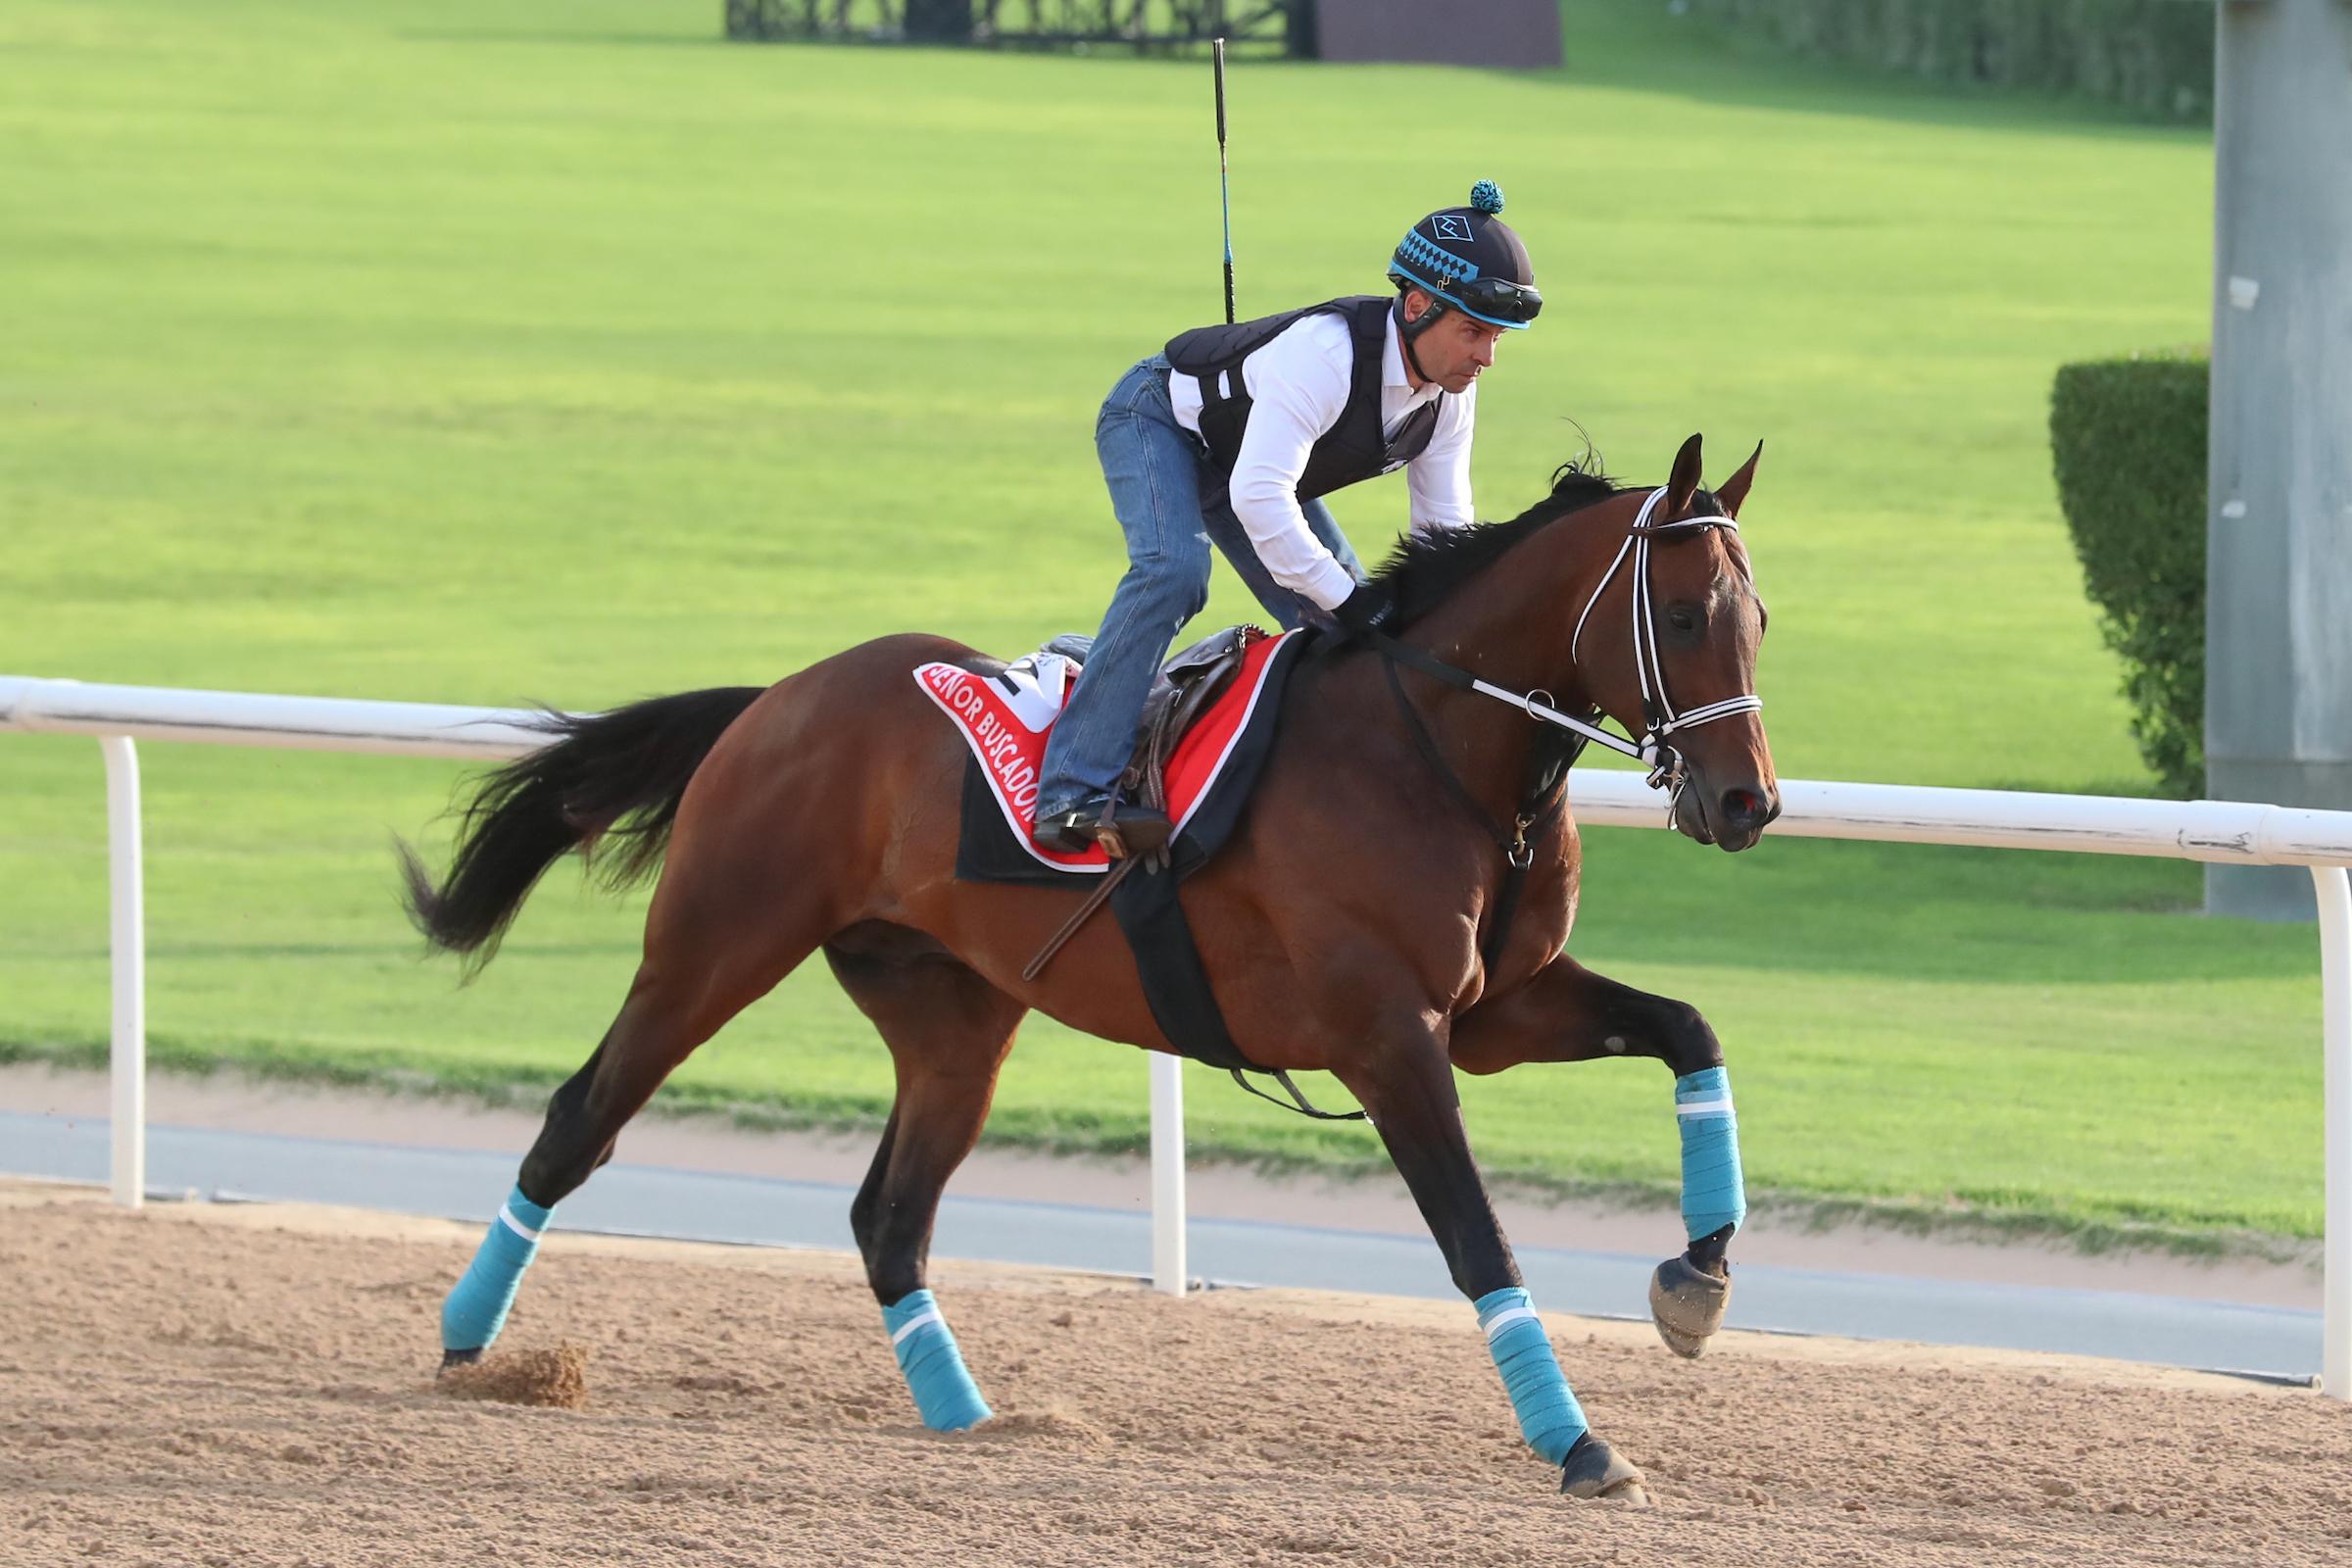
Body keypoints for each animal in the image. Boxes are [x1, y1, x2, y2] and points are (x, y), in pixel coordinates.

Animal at [400, 432, 1778, 1503]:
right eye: (1686, 616)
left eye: (1759, 620)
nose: (1749, 801)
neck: (1435, 749)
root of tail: (777, 695)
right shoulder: (1389, 1038)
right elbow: (1478, 1237)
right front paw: (1580, 1443)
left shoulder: (1497, 1009)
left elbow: (1691, 1029)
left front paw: (1697, 1277)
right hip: (712, 945)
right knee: (577, 1123)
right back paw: (471, 1348)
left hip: (951, 1017)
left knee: (889, 1216)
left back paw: (970, 1414)